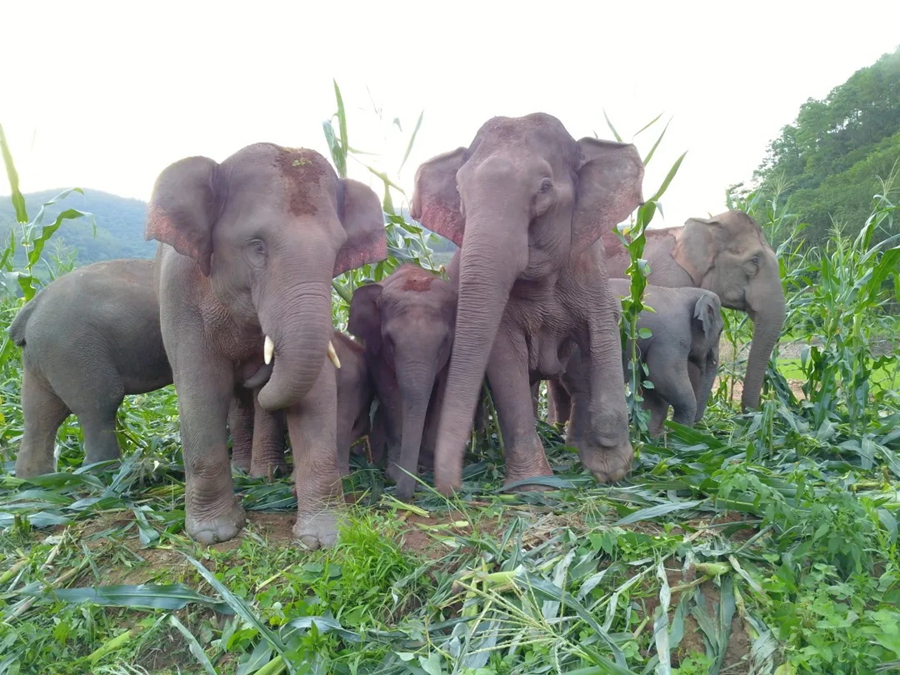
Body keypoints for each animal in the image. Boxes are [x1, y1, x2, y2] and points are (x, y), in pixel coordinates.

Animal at [145, 143, 387, 548]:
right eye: (256, 246)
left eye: (337, 250)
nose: (260, 365)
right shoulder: (179, 294)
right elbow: (200, 387)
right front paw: (214, 534)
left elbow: (317, 393)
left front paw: (326, 538)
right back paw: (247, 471)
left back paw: (264, 474)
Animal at [347, 264, 456, 499]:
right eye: (390, 340)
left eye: (444, 341)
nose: (403, 494)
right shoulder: (375, 347)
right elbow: (390, 394)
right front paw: (395, 473)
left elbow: (443, 393)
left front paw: (427, 466)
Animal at [410, 113, 644, 495]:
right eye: (459, 191)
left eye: (544, 187)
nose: (452, 487)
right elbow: (505, 360)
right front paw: (534, 487)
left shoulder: (589, 266)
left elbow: (602, 328)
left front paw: (609, 469)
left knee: (577, 379)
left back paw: (575, 450)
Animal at [550, 279, 724, 436]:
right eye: (721, 331)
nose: (699, 423)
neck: (684, 292)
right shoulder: (671, 339)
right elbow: (663, 377)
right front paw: (679, 437)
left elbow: (653, 390)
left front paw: (651, 439)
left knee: (560, 396)